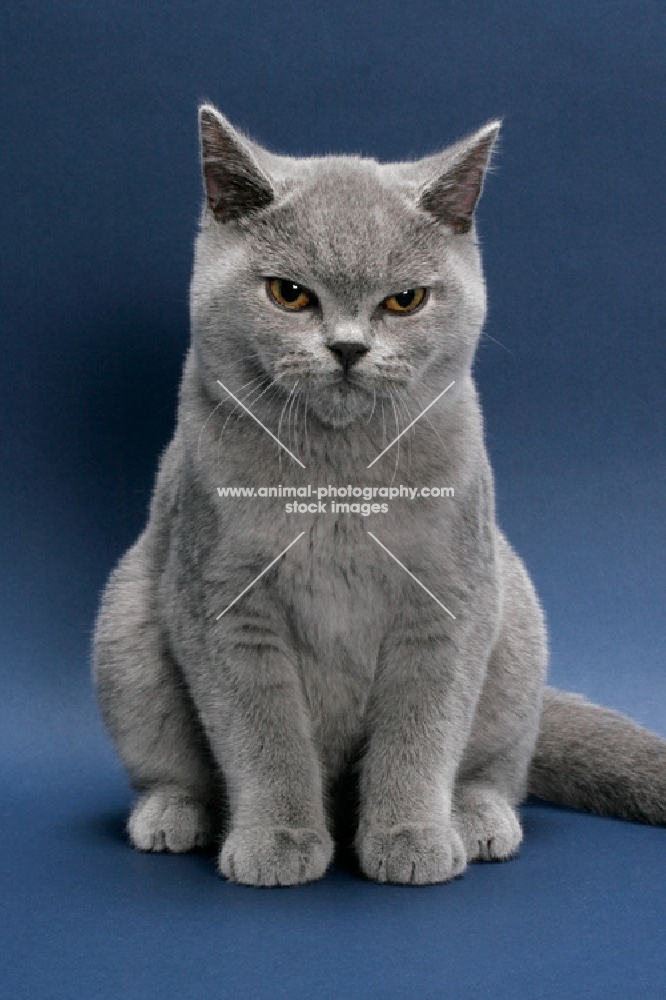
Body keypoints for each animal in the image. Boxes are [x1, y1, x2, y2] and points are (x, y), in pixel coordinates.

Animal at [93, 105, 664, 888]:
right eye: (290, 294)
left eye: (405, 300)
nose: (347, 348)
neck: (340, 485)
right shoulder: (224, 605)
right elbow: (264, 736)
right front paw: (278, 839)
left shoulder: (448, 599)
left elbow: (420, 733)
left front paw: (410, 837)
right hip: (127, 619)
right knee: (171, 767)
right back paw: (175, 817)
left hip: (517, 618)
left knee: (496, 768)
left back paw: (476, 820)